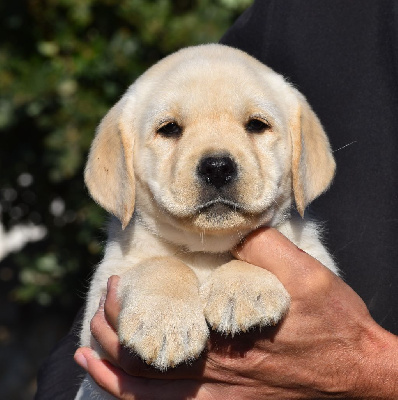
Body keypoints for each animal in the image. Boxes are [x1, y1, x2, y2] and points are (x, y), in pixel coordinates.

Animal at [76, 43, 338, 396]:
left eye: (257, 125)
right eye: (169, 129)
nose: (217, 167)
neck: (206, 252)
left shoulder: (317, 259)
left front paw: (242, 290)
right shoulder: (99, 314)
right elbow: (160, 264)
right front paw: (164, 323)